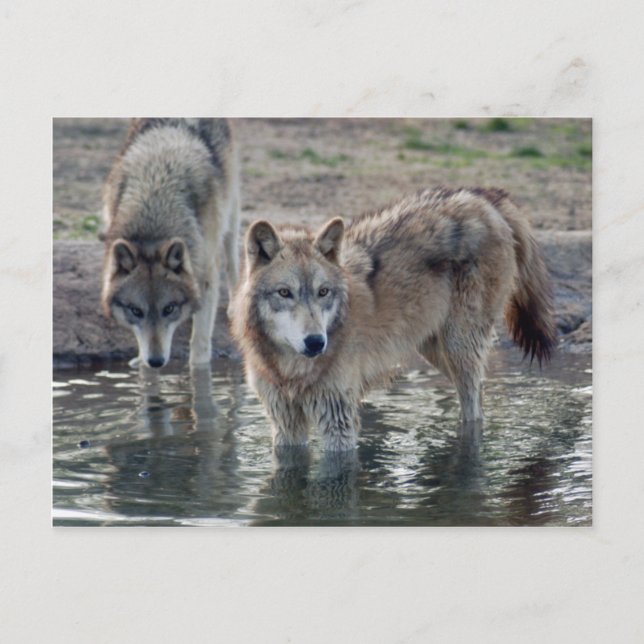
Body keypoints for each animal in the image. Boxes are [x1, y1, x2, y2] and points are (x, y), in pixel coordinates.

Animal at [101, 118, 240, 368]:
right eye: (136, 311)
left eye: (169, 309)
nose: (156, 361)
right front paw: (141, 361)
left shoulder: (205, 275)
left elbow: (200, 345)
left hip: (231, 211)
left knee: (233, 258)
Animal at [231, 187, 556, 451]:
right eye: (285, 293)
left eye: (323, 292)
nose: (315, 343)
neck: (291, 371)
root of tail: (485, 197)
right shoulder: (285, 424)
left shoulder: (338, 419)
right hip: (436, 351)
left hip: (458, 348)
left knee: (474, 409)